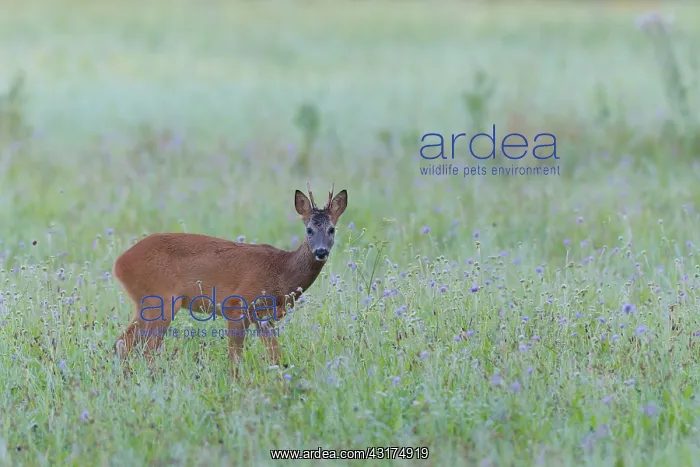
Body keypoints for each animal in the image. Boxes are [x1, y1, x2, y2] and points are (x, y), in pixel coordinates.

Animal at [112, 183, 348, 376]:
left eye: (332, 229)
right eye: (309, 229)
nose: (321, 251)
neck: (282, 271)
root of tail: (119, 264)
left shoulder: (264, 317)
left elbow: (274, 356)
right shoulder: (236, 305)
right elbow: (235, 357)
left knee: (124, 343)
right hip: (160, 300)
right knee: (145, 347)